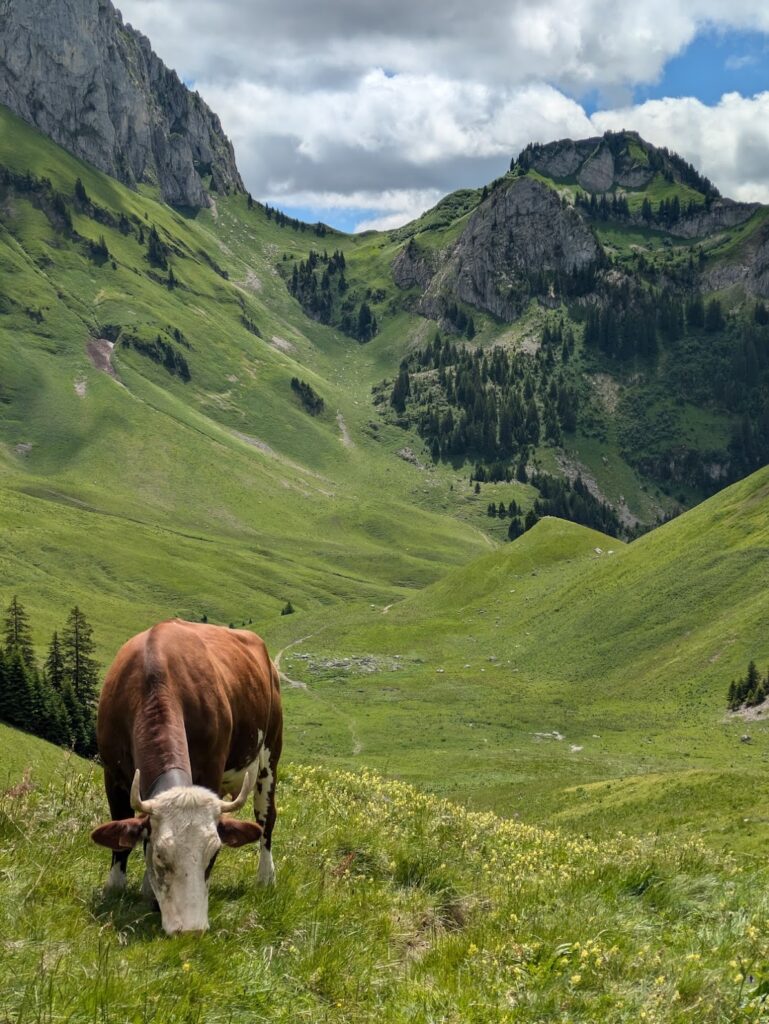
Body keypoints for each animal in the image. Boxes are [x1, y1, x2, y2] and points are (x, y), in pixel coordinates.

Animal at [90, 614, 282, 937]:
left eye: (214, 854)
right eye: (159, 855)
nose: (190, 930)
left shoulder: (211, 770)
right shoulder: (112, 775)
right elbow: (122, 835)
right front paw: (120, 887)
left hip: (270, 755)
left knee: (266, 820)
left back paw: (266, 876)